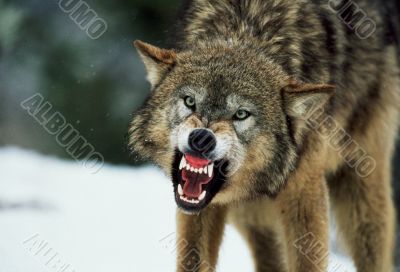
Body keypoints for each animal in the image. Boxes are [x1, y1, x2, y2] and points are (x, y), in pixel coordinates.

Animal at [130, 0, 398, 270]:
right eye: (189, 101)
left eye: (241, 114)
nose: (201, 138)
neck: (244, 29)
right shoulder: (199, 206)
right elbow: (192, 259)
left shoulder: (304, 192)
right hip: (250, 214)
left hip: (362, 189)